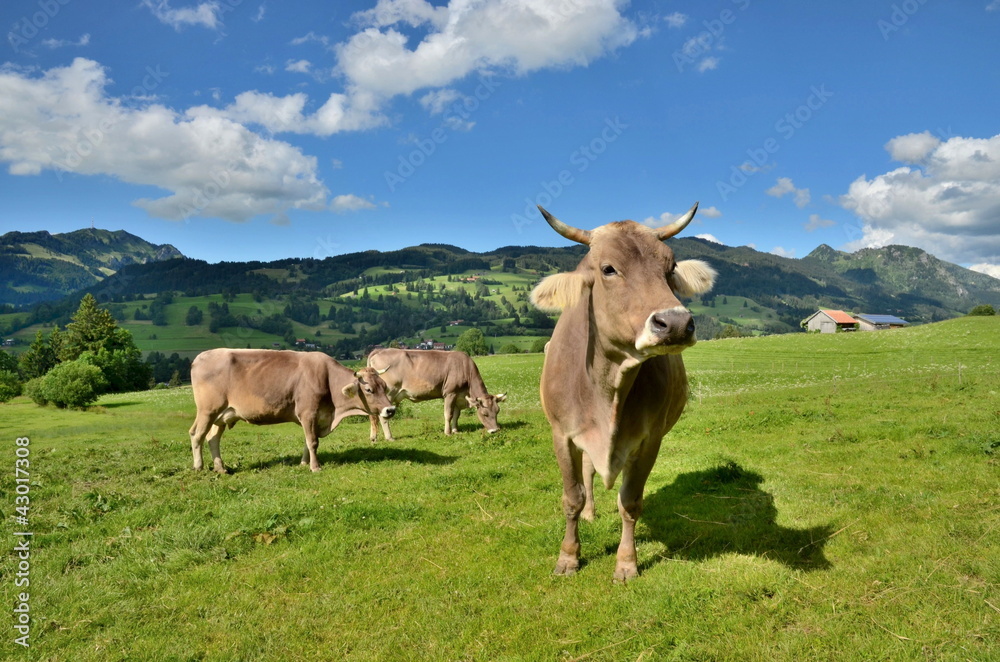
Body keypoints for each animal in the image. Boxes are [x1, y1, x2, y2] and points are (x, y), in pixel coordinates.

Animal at [188, 350, 394, 474]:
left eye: (384, 386)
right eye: (369, 390)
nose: (390, 409)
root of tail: (202, 356)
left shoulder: (313, 417)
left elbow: (307, 441)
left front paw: (304, 463)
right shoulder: (308, 412)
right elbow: (313, 442)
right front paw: (315, 467)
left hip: (221, 416)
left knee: (212, 438)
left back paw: (220, 468)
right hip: (208, 411)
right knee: (197, 435)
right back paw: (198, 466)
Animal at [366, 350, 508, 444]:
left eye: (497, 411)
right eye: (484, 414)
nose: (495, 430)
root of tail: (380, 350)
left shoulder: (458, 396)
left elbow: (456, 414)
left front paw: (455, 430)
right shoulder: (450, 393)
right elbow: (448, 414)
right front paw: (448, 432)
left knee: (373, 417)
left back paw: (373, 438)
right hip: (388, 394)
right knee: (382, 416)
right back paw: (389, 437)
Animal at [528, 202, 716, 580]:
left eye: (670, 268)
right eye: (608, 269)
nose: (675, 323)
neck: (607, 387)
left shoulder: (649, 439)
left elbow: (630, 501)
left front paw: (627, 562)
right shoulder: (561, 434)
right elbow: (572, 497)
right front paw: (568, 556)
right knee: (587, 474)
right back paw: (590, 513)